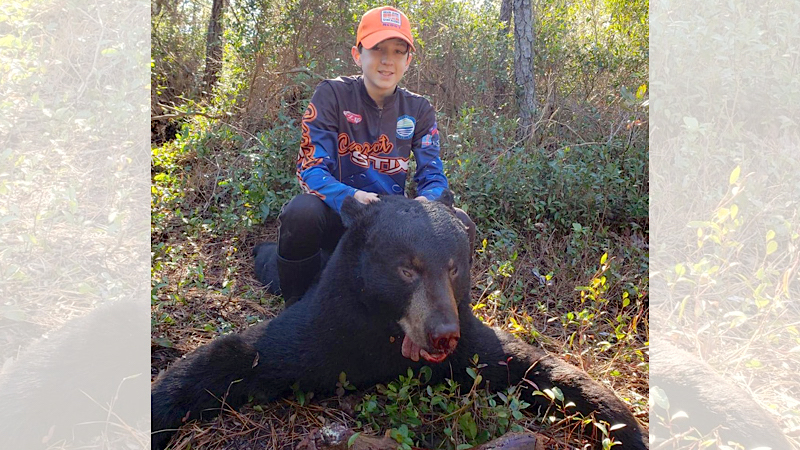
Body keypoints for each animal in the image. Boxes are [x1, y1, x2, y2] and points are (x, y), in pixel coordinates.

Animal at [151, 193, 648, 450]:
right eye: (407, 268)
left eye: (454, 267)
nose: (443, 334)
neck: (388, 337)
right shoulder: (322, 332)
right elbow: (234, 354)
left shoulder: (471, 345)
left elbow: (533, 364)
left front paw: (624, 424)